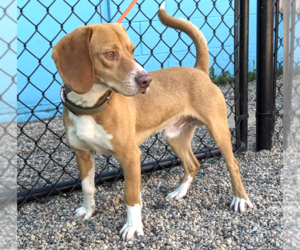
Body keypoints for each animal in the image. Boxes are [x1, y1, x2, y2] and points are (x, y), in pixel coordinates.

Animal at [52, 1, 253, 240]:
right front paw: (88, 210)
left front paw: (133, 227)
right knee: (193, 164)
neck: (91, 107)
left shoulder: (131, 157)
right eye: (110, 54)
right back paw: (179, 192)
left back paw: (240, 199)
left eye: (132, 50)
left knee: (233, 165)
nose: (146, 80)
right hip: (174, 136)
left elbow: (131, 197)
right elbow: (87, 188)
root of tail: (199, 71)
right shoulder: (83, 154)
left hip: (219, 131)